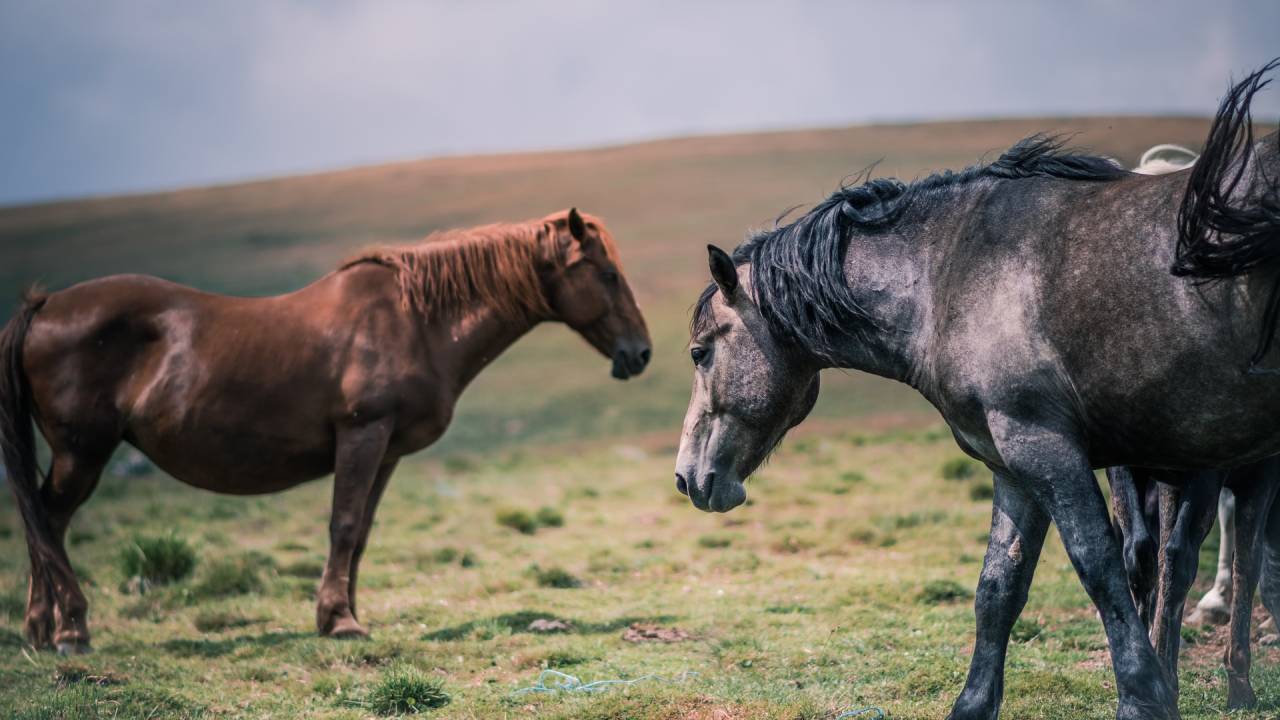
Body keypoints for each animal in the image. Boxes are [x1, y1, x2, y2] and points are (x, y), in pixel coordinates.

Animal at [0, 207, 650, 650]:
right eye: (607, 274)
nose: (640, 353)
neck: (416, 320)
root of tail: (46, 305)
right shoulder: (362, 435)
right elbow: (342, 524)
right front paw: (339, 621)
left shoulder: (387, 451)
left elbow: (360, 532)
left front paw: (344, 612)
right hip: (83, 452)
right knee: (49, 523)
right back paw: (71, 630)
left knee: (44, 521)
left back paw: (40, 630)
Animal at [670, 63, 1280, 717]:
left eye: (700, 352)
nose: (686, 477)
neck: (948, 275)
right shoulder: (1013, 464)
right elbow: (998, 589)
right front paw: (973, 703)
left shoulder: (1044, 447)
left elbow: (1098, 565)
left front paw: (1144, 697)